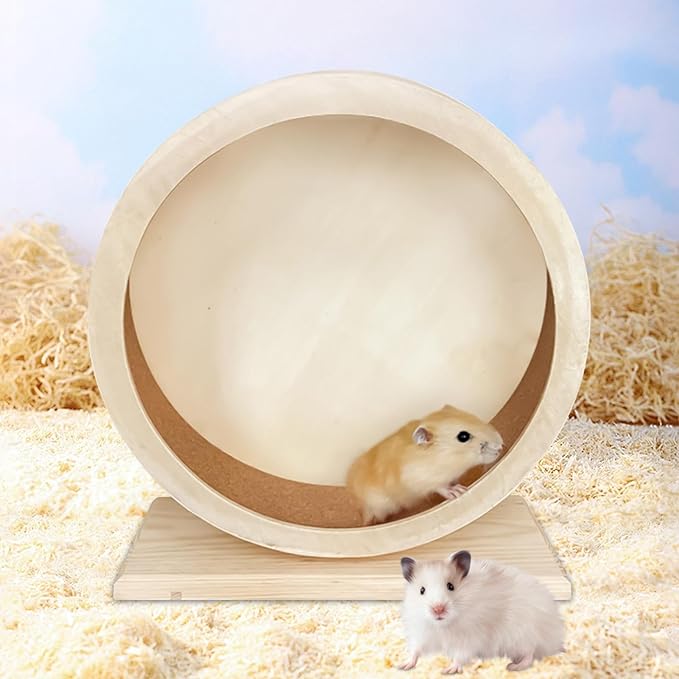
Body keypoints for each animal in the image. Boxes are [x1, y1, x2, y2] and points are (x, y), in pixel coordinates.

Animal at [345, 405, 503, 525]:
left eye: (473, 417)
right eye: (463, 436)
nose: (501, 445)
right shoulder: (422, 480)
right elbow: (441, 488)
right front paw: (458, 491)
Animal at [398, 551, 565, 673]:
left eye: (451, 586)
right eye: (422, 590)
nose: (438, 609)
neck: (443, 625)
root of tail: (555, 638)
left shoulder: (470, 637)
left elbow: (460, 655)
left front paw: (448, 670)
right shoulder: (422, 633)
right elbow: (415, 650)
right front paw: (403, 666)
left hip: (522, 634)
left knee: (530, 652)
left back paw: (513, 666)